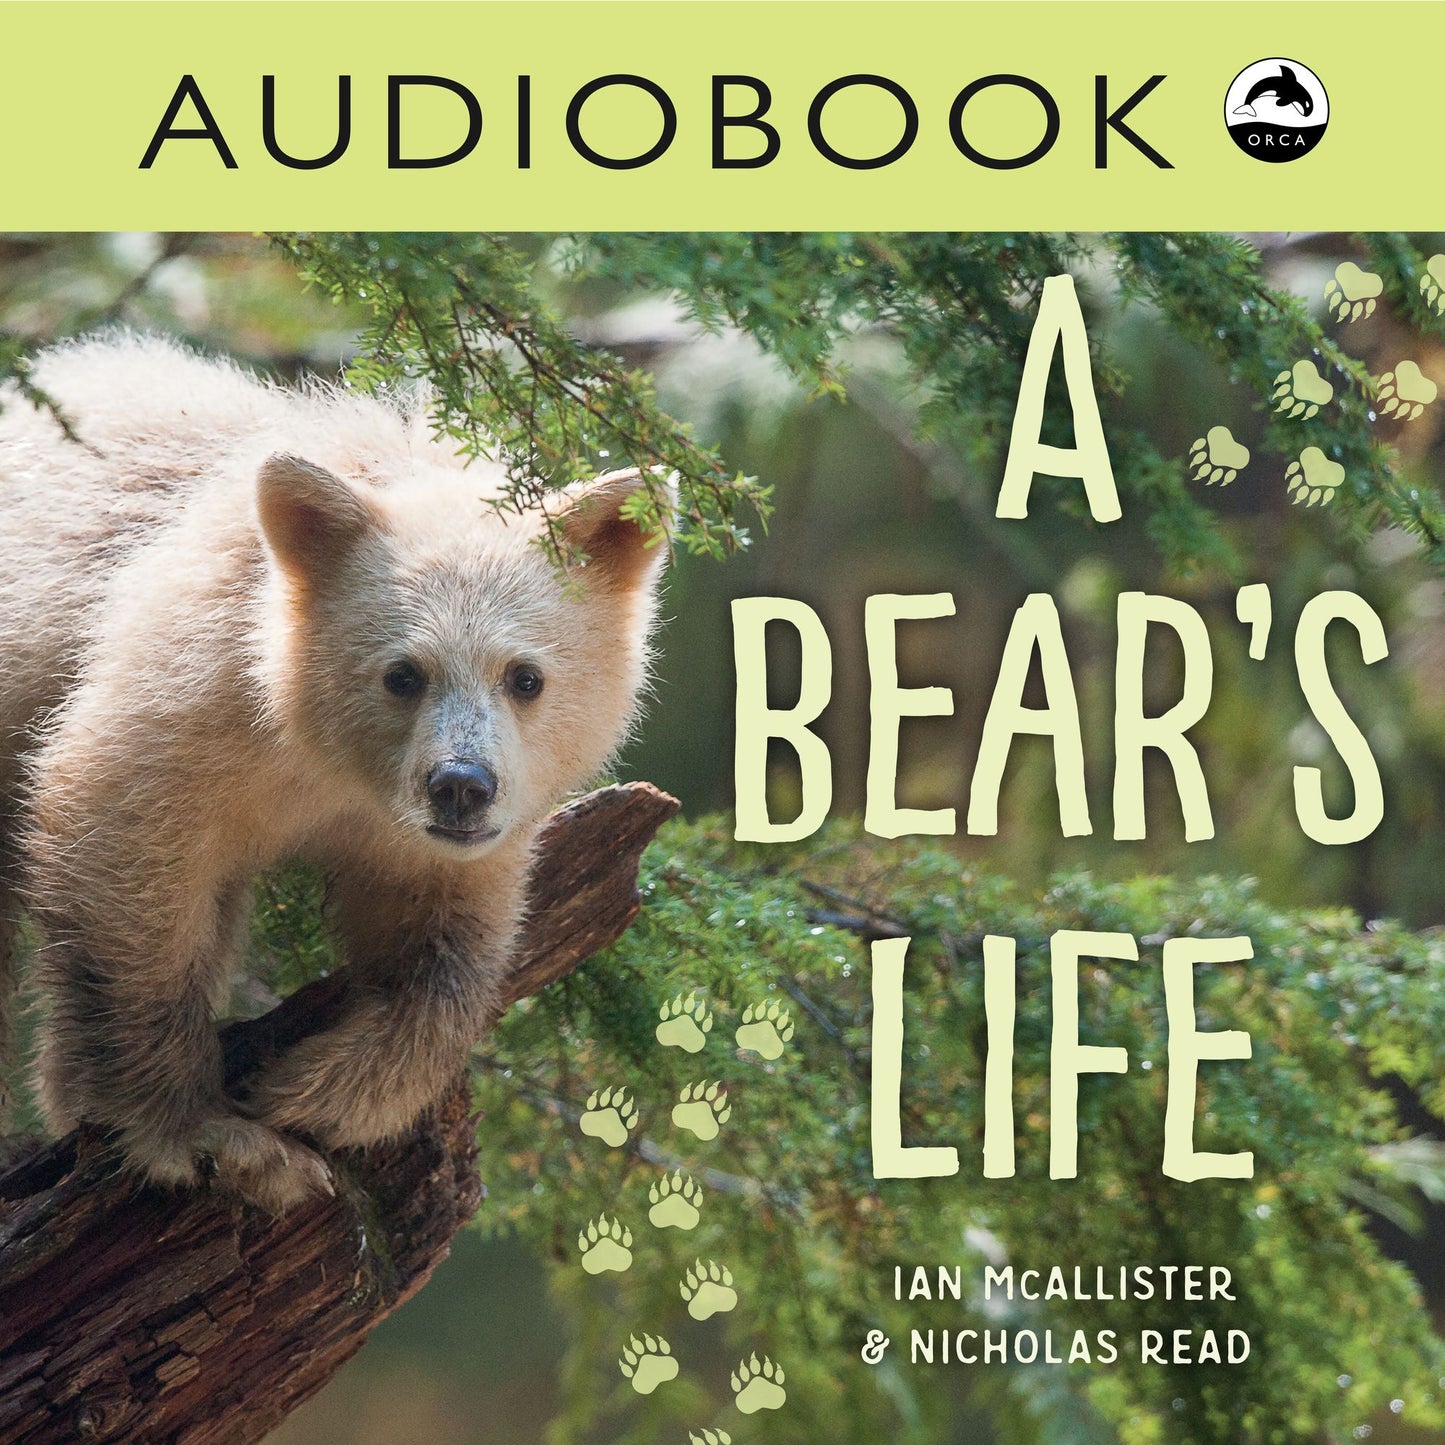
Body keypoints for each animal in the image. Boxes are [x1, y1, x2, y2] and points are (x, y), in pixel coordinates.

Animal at [0, 334, 670, 1211]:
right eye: (402, 673)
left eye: (525, 676)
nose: (460, 786)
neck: (322, 763)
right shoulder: (185, 703)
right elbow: (123, 867)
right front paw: (209, 1133)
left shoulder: (435, 839)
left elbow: (447, 943)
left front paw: (320, 1090)